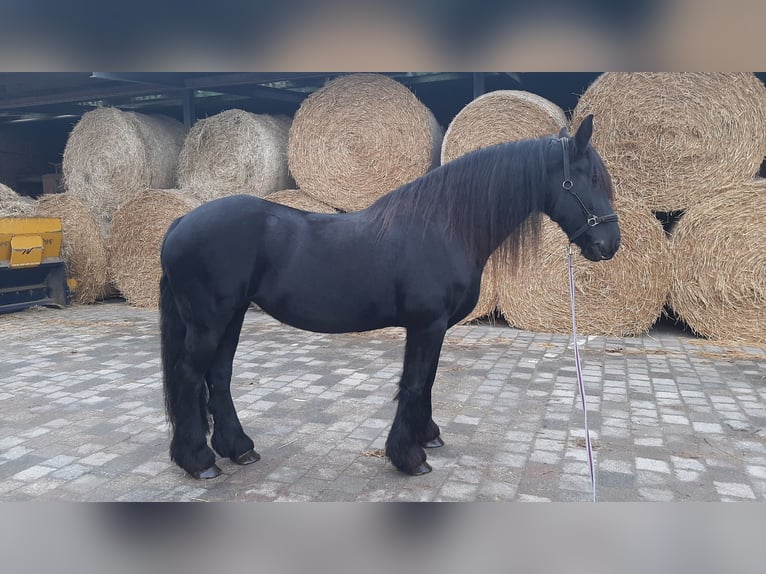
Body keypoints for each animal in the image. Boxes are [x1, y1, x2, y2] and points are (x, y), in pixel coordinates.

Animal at [159, 115, 620, 480]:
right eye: (591, 179)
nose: (609, 245)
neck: (445, 225)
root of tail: (181, 221)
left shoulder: (435, 328)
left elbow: (428, 380)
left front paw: (427, 436)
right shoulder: (426, 324)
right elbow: (414, 383)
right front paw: (409, 457)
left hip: (232, 316)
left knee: (218, 377)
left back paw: (238, 448)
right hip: (209, 321)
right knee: (189, 377)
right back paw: (198, 461)